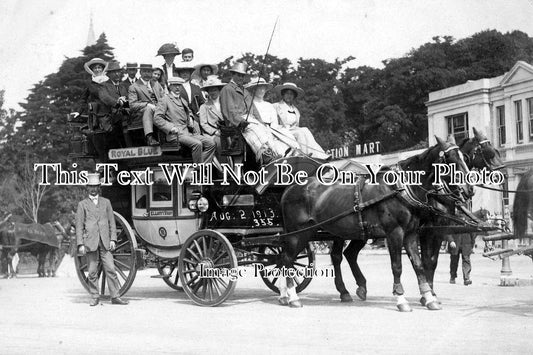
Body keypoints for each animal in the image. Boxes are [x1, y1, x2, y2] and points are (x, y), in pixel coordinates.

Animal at [278, 136, 470, 312]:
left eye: (465, 158)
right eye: (450, 159)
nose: (469, 190)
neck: (401, 188)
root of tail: (290, 188)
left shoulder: (411, 233)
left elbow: (419, 264)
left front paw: (429, 297)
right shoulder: (395, 233)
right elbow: (397, 266)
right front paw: (401, 299)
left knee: (334, 256)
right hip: (299, 232)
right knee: (287, 259)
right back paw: (291, 297)